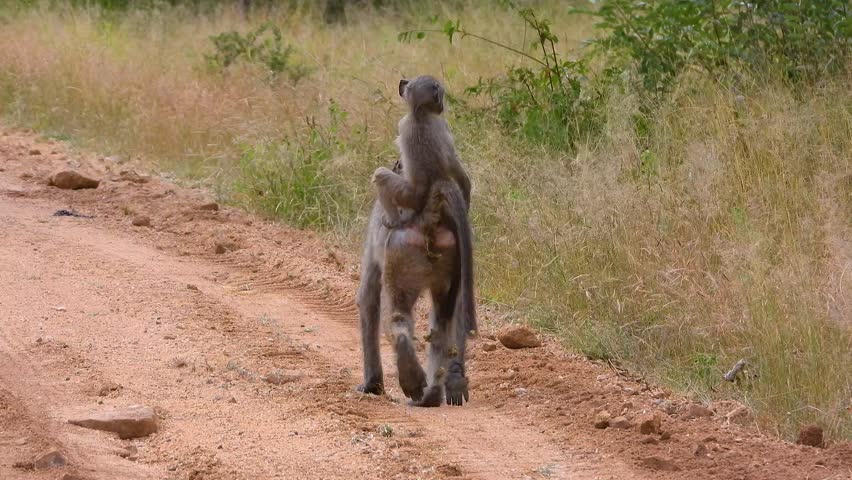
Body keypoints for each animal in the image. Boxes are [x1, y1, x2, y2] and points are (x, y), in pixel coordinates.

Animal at [356, 77, 476, 407]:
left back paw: (413, 379)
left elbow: (367, 299)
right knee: (446, 322)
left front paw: (372, 383)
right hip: (452, 257)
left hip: (402, 253)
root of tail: (428, 215)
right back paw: (440, 389)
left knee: (399, 316)